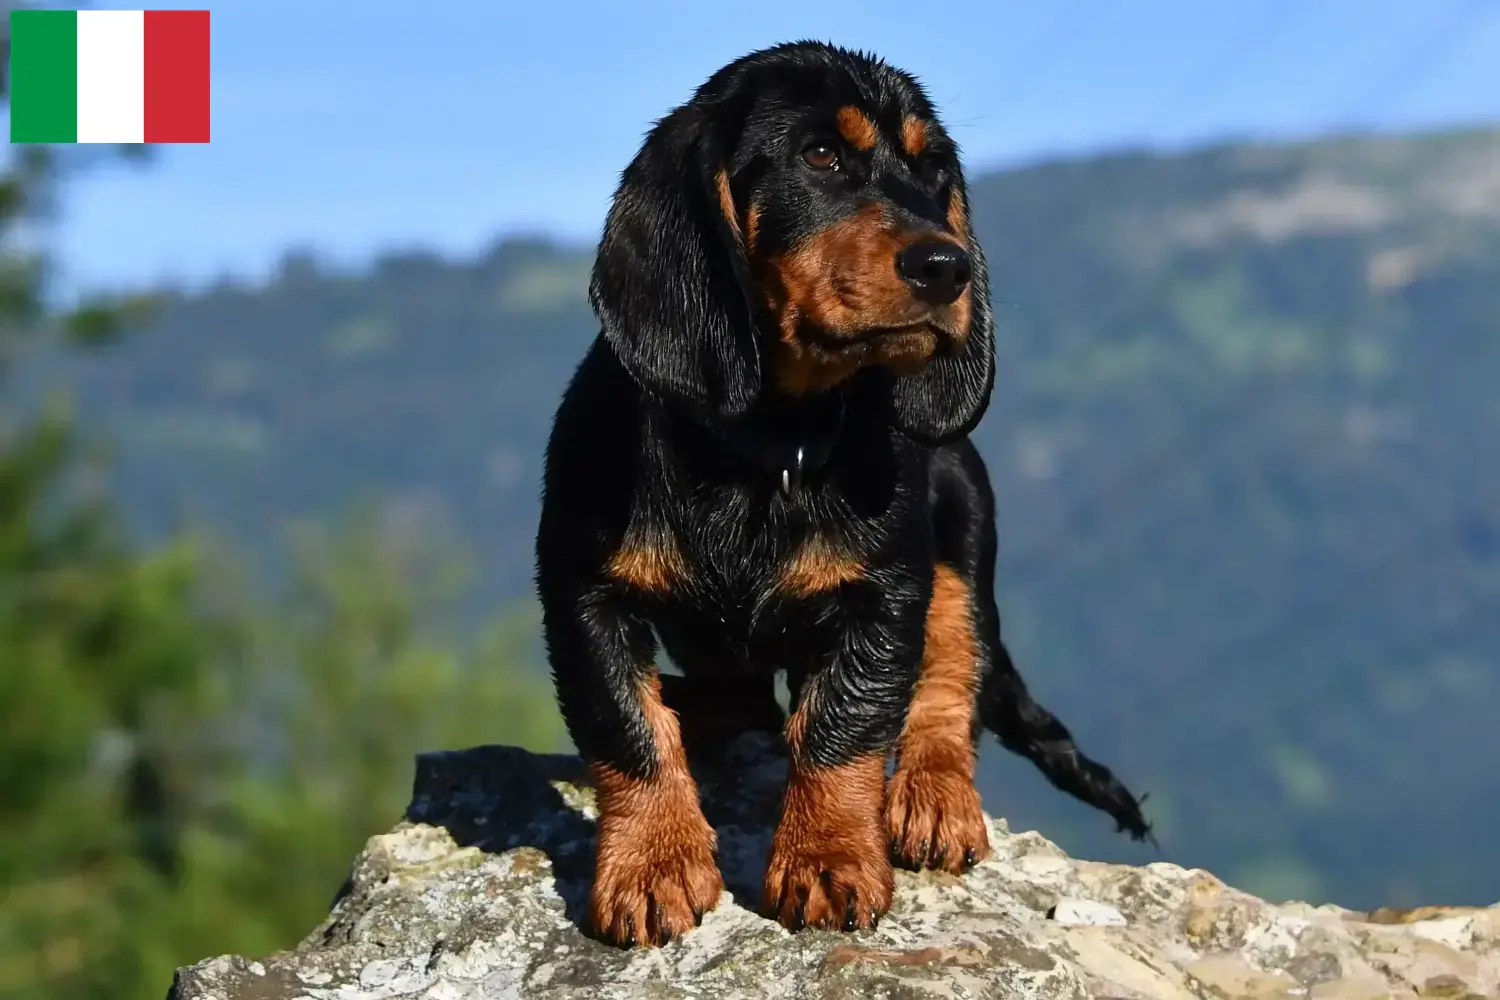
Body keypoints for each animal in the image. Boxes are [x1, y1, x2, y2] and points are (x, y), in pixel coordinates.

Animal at [537, 41, 1146, 947]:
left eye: (933, 170)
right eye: (820, 155)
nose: (947, 267)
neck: (766, 449)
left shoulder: (885, 595)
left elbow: (843, 725)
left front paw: (827, 859)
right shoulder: (582, 593)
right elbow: (626, 725)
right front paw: (651, 864)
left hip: (964, 538)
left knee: (948, 681)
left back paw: (935, 798)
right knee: (736, 700)